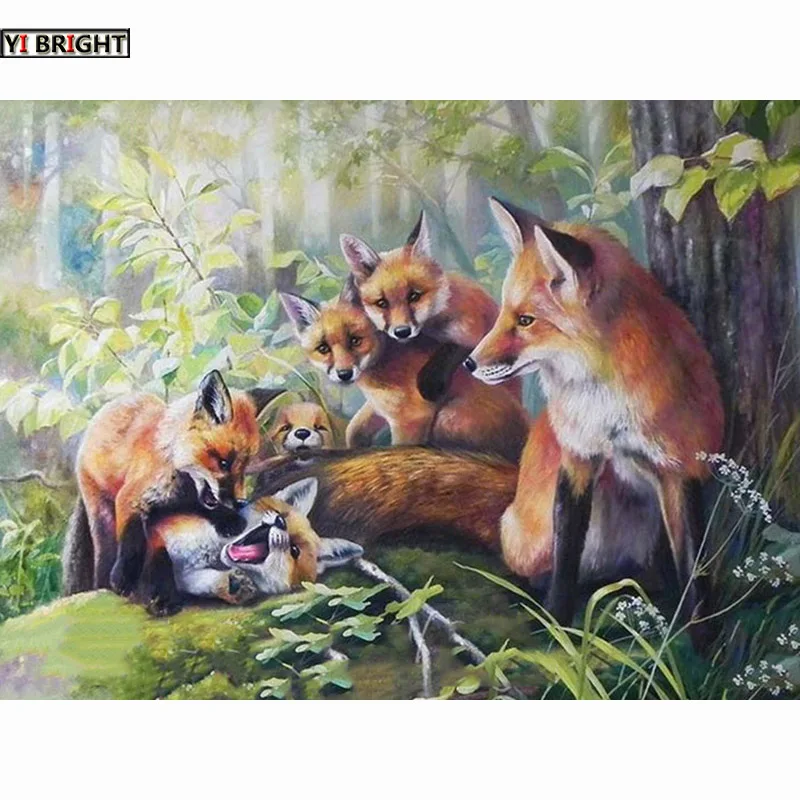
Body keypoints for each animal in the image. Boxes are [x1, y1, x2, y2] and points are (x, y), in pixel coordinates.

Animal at [62, 369, 284, 613]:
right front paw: (127, 579)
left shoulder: (181, 503)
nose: (239, 503)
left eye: (244, 466)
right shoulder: (130, 497)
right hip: (101, 515)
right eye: (224, 463)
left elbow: (200, 510)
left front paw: (228, 519)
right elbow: (133, 541)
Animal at [147, 477, 362, 604]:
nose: (280, 522)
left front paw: (235, 585)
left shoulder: (187, 575)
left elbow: (206, 582)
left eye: (294, 551)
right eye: (281, 514)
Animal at [280, 286, 530, 463]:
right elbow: (354, 430)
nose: (344, 373)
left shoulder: (411, 417)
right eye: (323, 348)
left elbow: (399, 450)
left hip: (448, 418)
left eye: (355, 341)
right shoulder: (380, 407)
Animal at [340, 212, 522, 403]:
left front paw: (430, 382)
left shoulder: (475, 331)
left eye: (414, 296)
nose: (402, 331)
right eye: (382, 303)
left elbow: (454, 349)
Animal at [465, 197, 724, 638]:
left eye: (526, 320)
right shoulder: (578, 457)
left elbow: (694, 568)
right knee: (538, 565)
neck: (608, 411)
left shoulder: (680, 466)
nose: (468, 363)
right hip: (553, 527)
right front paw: (558, 628)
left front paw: (705, 641)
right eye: (504, 313)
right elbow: (566, 556)